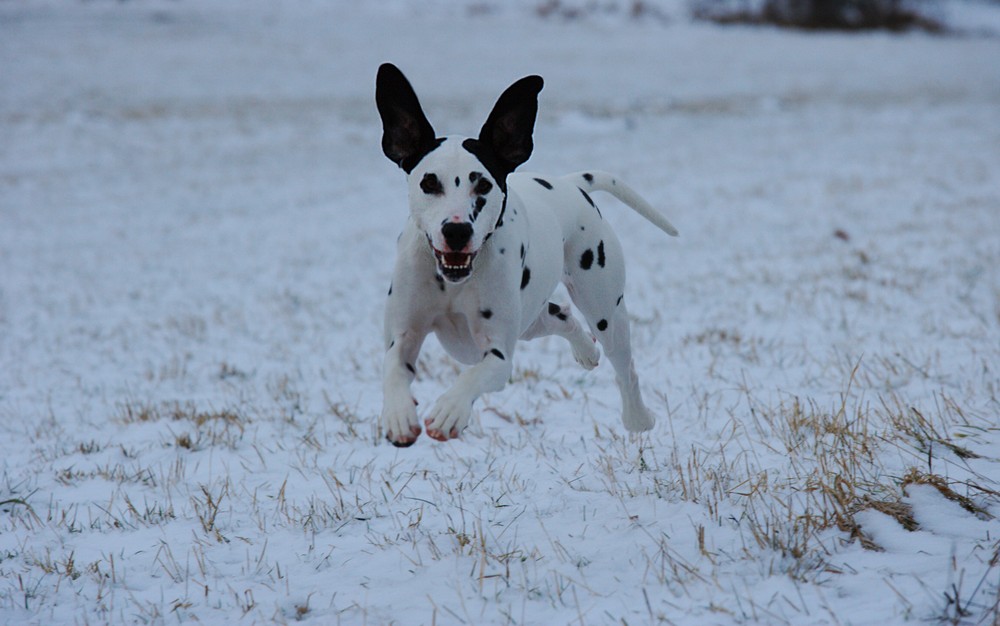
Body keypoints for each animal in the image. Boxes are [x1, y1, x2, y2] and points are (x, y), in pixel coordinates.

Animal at [376, 62, 680, 444]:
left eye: (483, 184)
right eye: (429, 182)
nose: (457, 231)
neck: (453, 283)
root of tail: (571, 185)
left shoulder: (497, 353)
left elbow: (474, 375)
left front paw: (450, 410)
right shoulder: (403, 334)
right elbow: (392, 367)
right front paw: (398, 415)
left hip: (604, 310)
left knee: (624, 366)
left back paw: (638, 417)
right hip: (532, 316)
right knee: (561, 315)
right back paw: (586, 350)